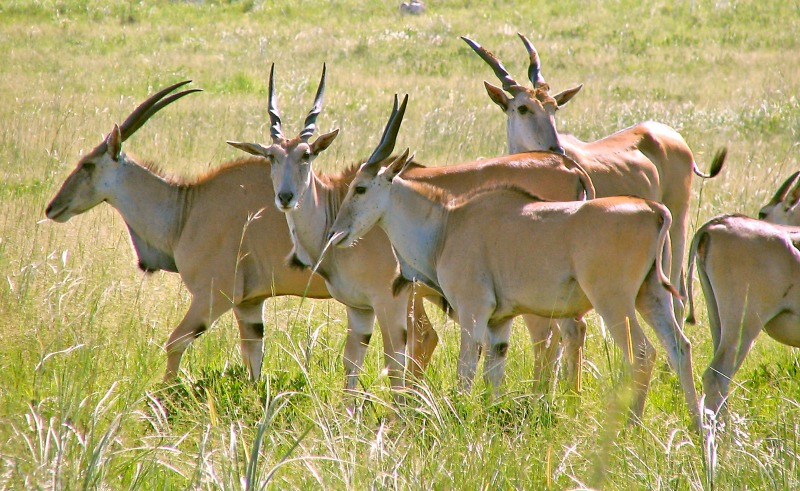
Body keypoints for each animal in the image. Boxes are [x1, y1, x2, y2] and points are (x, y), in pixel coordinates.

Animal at [44, 81, 441, 383]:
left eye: (87, 164)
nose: (52, 207)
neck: (187, 207)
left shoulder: (213, 296)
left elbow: (175, 344)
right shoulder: (249, 305)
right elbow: (253, 362)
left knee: (419, 341)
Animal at [227, 65, 599, 394]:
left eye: (306, 155)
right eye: (272, 156)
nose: (285, 197)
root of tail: (569, 166)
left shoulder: (392, 301)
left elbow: (397, 362)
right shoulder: (359, 309)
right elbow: (353, 364)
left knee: (555, 336)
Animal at [327, 97, 703, 429]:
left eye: (359, 188)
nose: (335, 233)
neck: (447, 223)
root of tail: (654, 211)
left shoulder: (473, 311)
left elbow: (466, 371)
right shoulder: (500, 322)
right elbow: (493, 376)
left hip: (614, 302)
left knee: (641, 352)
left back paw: (632, 426)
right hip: (652, 295)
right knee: (679, 347)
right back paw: (698, 426)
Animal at [462, 33, 727, 317]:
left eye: (554, 107)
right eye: (523, 108)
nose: (557, 149)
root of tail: (674, 136)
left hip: (677, 222)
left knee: (677, 292)